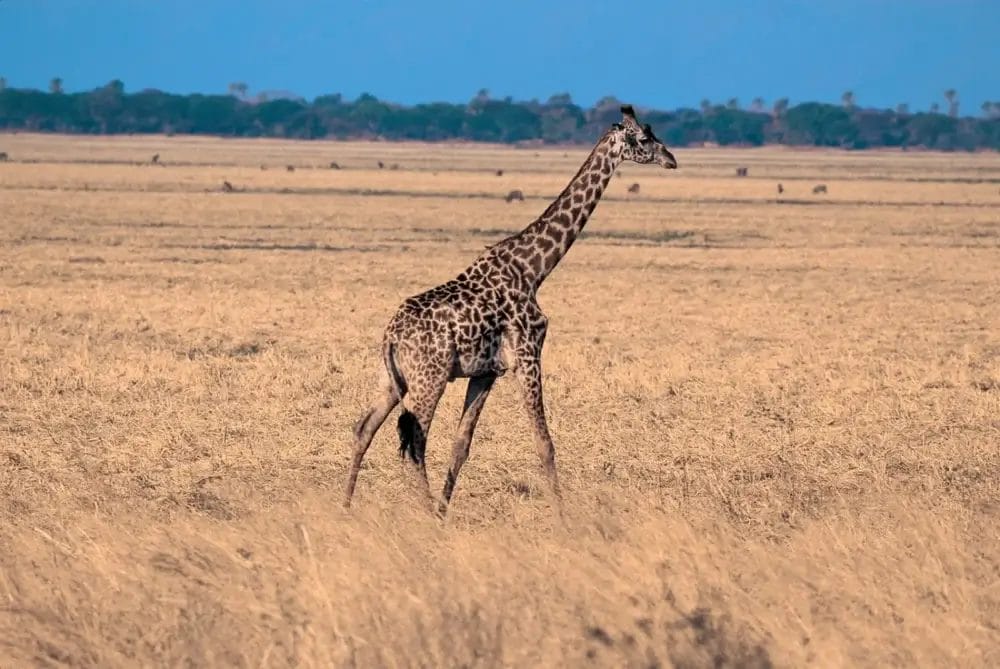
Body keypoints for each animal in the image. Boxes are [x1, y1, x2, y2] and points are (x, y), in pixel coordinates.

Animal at [343, 105, 678, 515]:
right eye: (645, 138)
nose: (672, 159)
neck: (534, 270)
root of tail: (390, 335)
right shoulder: (528, 357)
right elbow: (545, 444)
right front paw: (564, 517)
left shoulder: (487, 373)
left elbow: (461, 445)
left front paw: (444, 511)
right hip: (429, 379)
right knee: (415, 441)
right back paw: (420, 510)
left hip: (392, 379)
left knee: (364, 428)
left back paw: (346, 505)